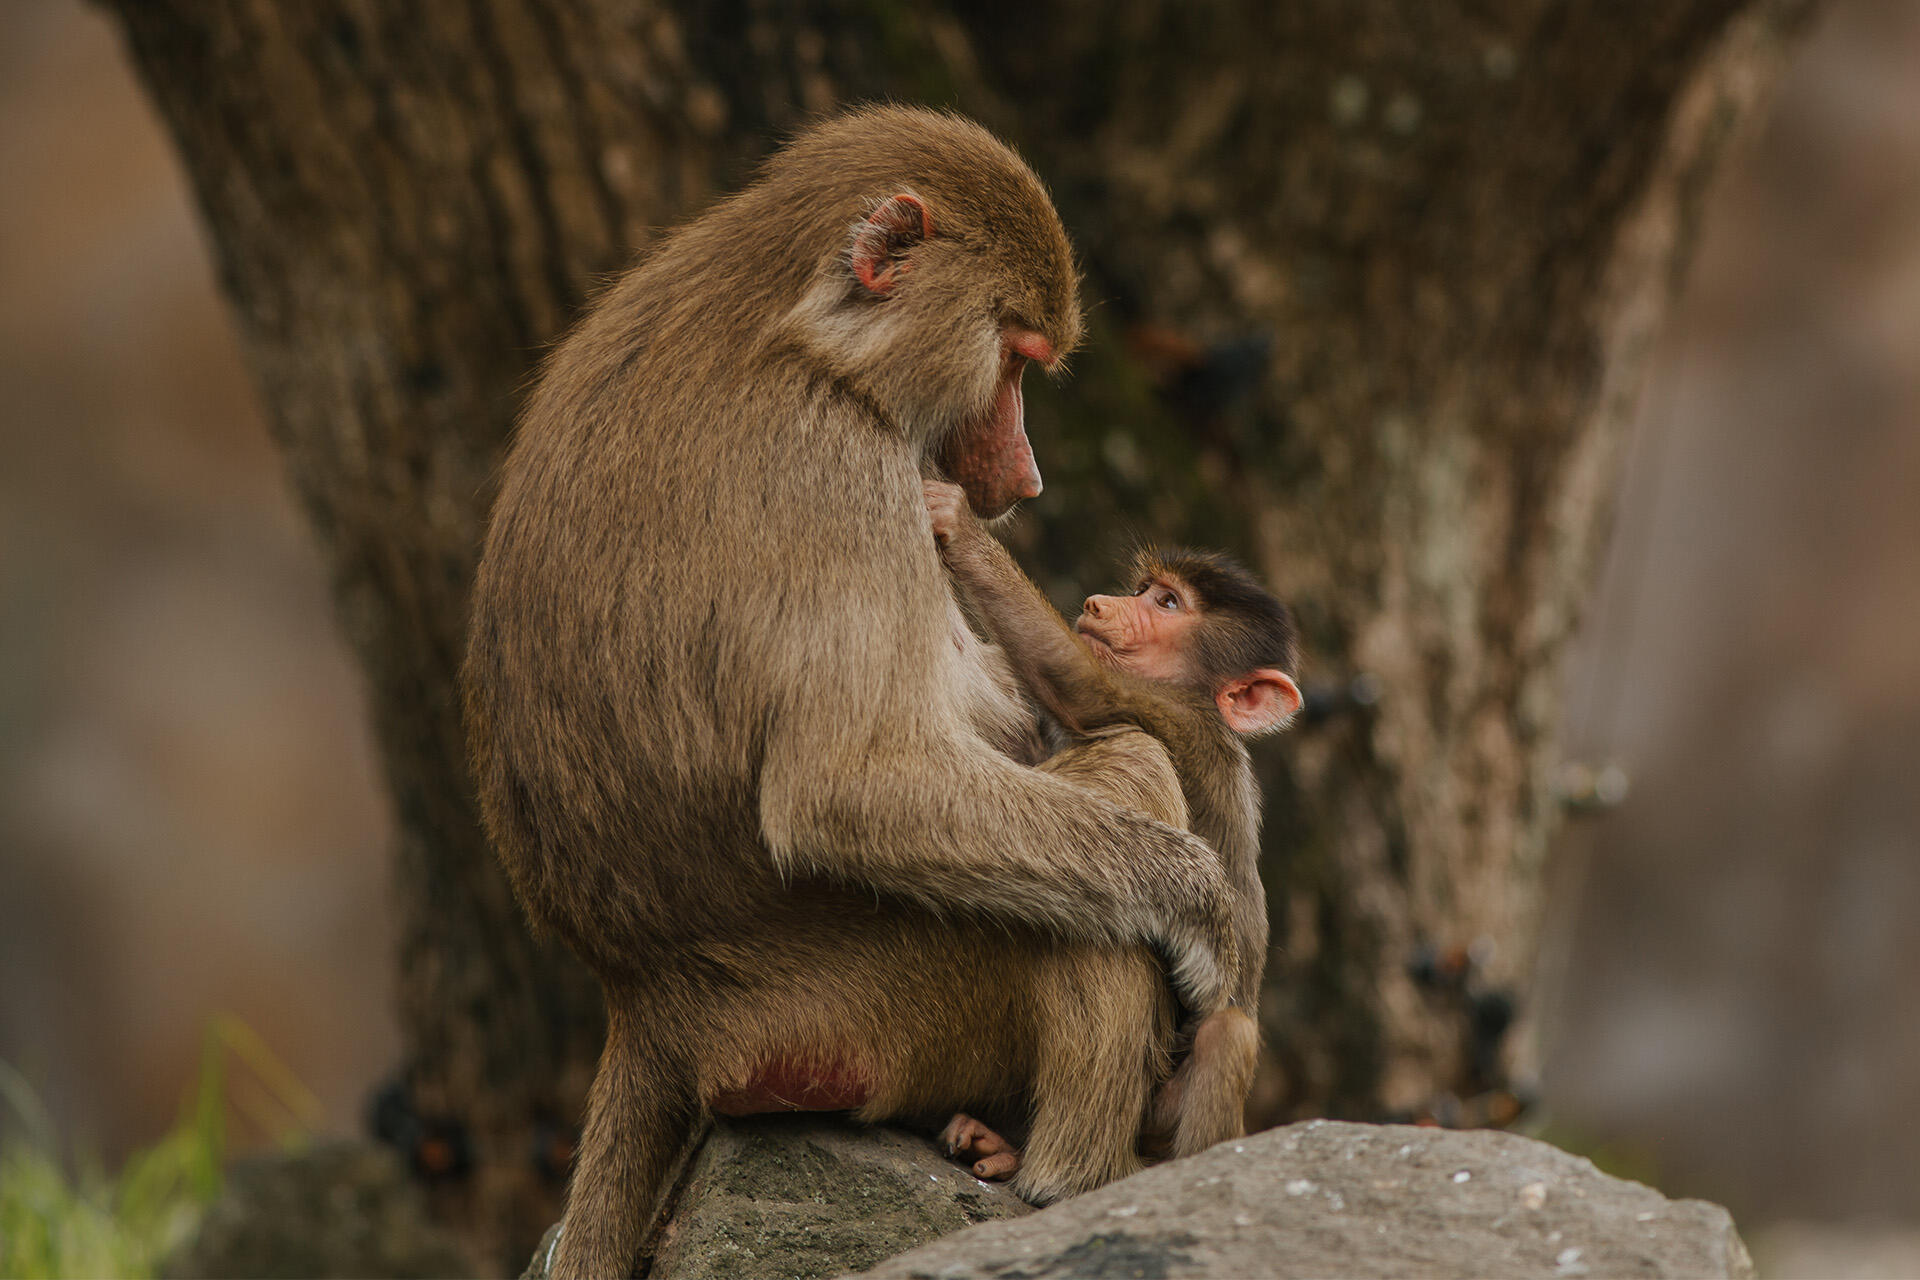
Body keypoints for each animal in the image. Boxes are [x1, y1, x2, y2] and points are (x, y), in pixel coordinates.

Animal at [462, 107, 1243, 1280]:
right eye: (1016, 359)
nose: (1024, 480)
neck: (797, 333)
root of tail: (646, 1001)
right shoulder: (835, 470)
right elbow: (849, 789)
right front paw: (1206, 909)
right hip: (880, 1010)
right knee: (1117, 803)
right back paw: (1065, 1182)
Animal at [922, 479, 1302, 1175]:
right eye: (1147, 589)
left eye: (1168, 603)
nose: (1101, 602)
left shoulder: (1180, 718)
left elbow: (1081, 686)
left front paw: (959, 525)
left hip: (1154, 1117)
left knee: (1227, 1036)